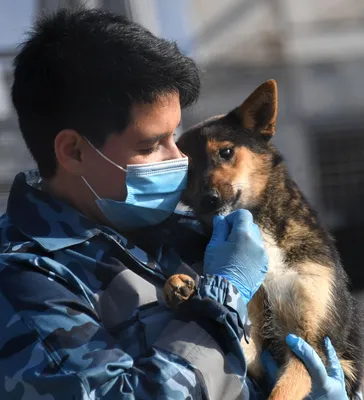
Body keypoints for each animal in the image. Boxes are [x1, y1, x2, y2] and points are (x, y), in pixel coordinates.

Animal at [164, 79, 364, 398]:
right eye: (187, 170)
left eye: (226, 152)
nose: (208, 200)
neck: (262, 229)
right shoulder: (251, 341)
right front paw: (181, 285)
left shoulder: (313, 345)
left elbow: (282, 391)